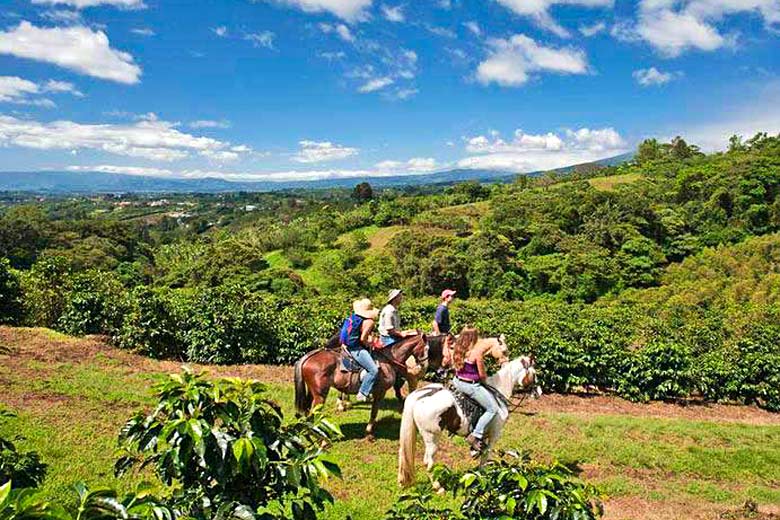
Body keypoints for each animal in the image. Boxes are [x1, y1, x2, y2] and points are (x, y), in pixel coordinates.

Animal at [292, 334, 426, 438]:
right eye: (426, 348)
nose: (423, 366)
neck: (388, 360)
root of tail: (307, 357)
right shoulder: (380, 392)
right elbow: (374, 412)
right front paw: (369, 433)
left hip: (312, 393)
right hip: (320, 395)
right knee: (314, 413)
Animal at [400, 356, 540, 490]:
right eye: (534, 373)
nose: (539, 392)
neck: (498, 392)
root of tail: (419, 396)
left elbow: (480, 449)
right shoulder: (494, 434)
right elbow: (486, 455)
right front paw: (484, 476)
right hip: (432, 437)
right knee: (428, 461)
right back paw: (438, 487)